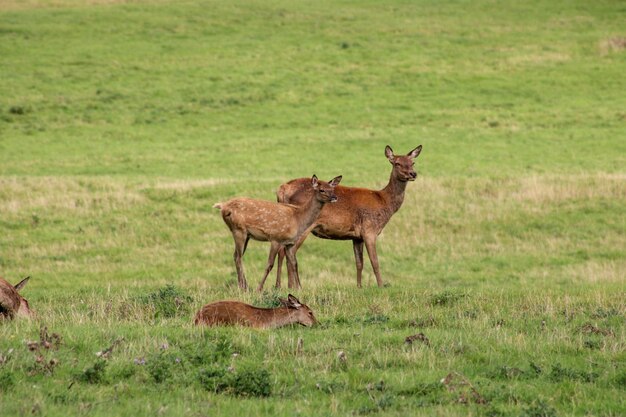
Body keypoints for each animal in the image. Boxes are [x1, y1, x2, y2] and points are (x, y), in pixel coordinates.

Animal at [214, 173, 342, 290]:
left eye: (332, 189)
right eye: (322, 190)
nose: (334, 197)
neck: (298, 219)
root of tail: (222, 206)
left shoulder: (290, 243)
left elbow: (294, 263)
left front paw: (299, 289)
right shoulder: (276, 238)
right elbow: (270, 264)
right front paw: (259, 289)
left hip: (246, 235)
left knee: (236, 255)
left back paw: (243, 286)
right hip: (238, 230)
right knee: (238, 257)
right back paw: (244, 287)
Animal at [266, 146, 422, 290]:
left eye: (413, 162)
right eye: (397, 163)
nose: (413, 173)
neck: (384, 203)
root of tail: (282, 189)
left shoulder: (357, 236)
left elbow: (359, 263)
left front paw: (359, 287)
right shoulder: (370, 230)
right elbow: (375, 262)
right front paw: (380, 286)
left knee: (282, 251)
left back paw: (280, 286)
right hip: (303, 226)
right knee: (289, 252)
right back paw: (294, 286)